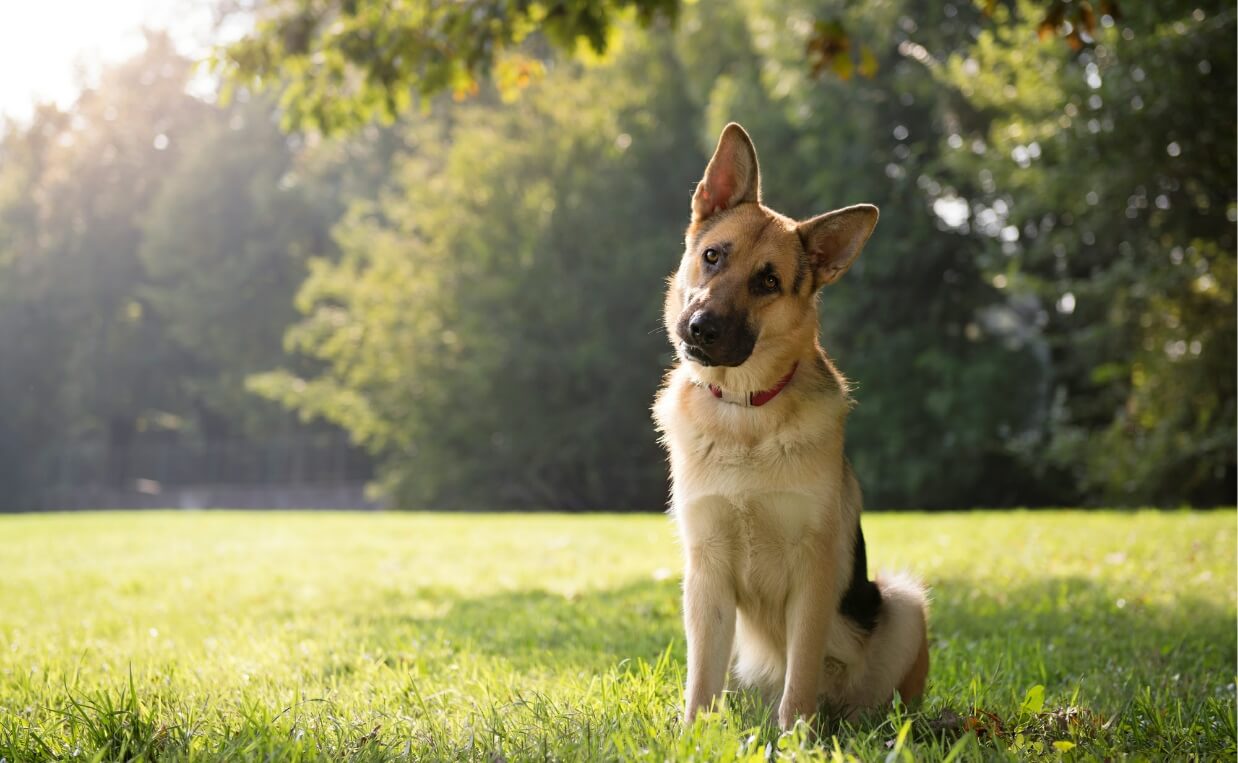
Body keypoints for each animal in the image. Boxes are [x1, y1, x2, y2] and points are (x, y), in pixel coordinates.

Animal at [658, 123, 930, 728]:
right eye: (712, 256)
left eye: (768, 282)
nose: (701, 327)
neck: (746, 412)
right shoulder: (706, 574)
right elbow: (700, 681)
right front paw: (692, 735)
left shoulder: (814, 571)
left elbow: (800, 673)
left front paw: (797, 737)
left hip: (903, 602)